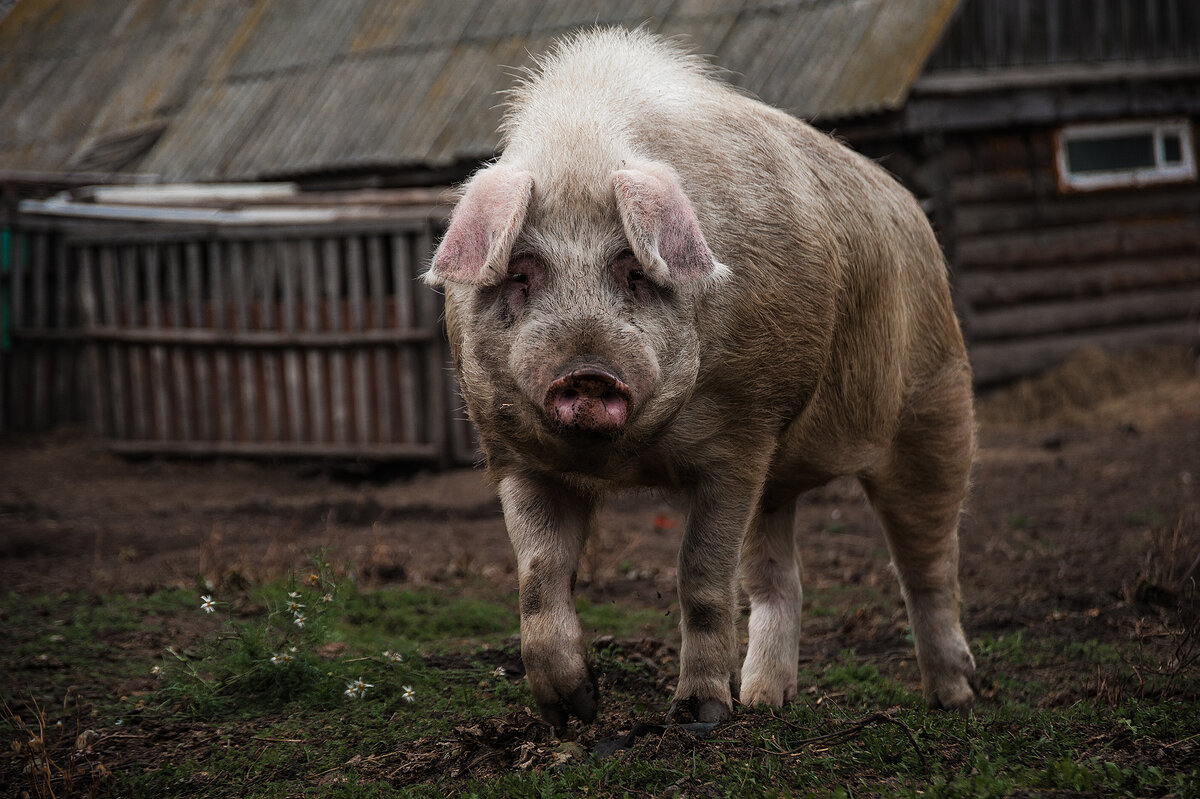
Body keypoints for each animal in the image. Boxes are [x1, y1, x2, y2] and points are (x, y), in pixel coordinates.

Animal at [427, 29, 979, 729]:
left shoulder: (742, 435)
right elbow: (537, 575)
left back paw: (955, 700)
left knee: (928, 563)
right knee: (779, 579)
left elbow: (700, 577)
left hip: (934, 404)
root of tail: (912, 210)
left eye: (635, 269)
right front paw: (573, 709)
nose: (587, 372)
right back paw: (766, 700)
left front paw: (699, 715)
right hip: (783, 473)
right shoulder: (516, 455)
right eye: (522, 274)